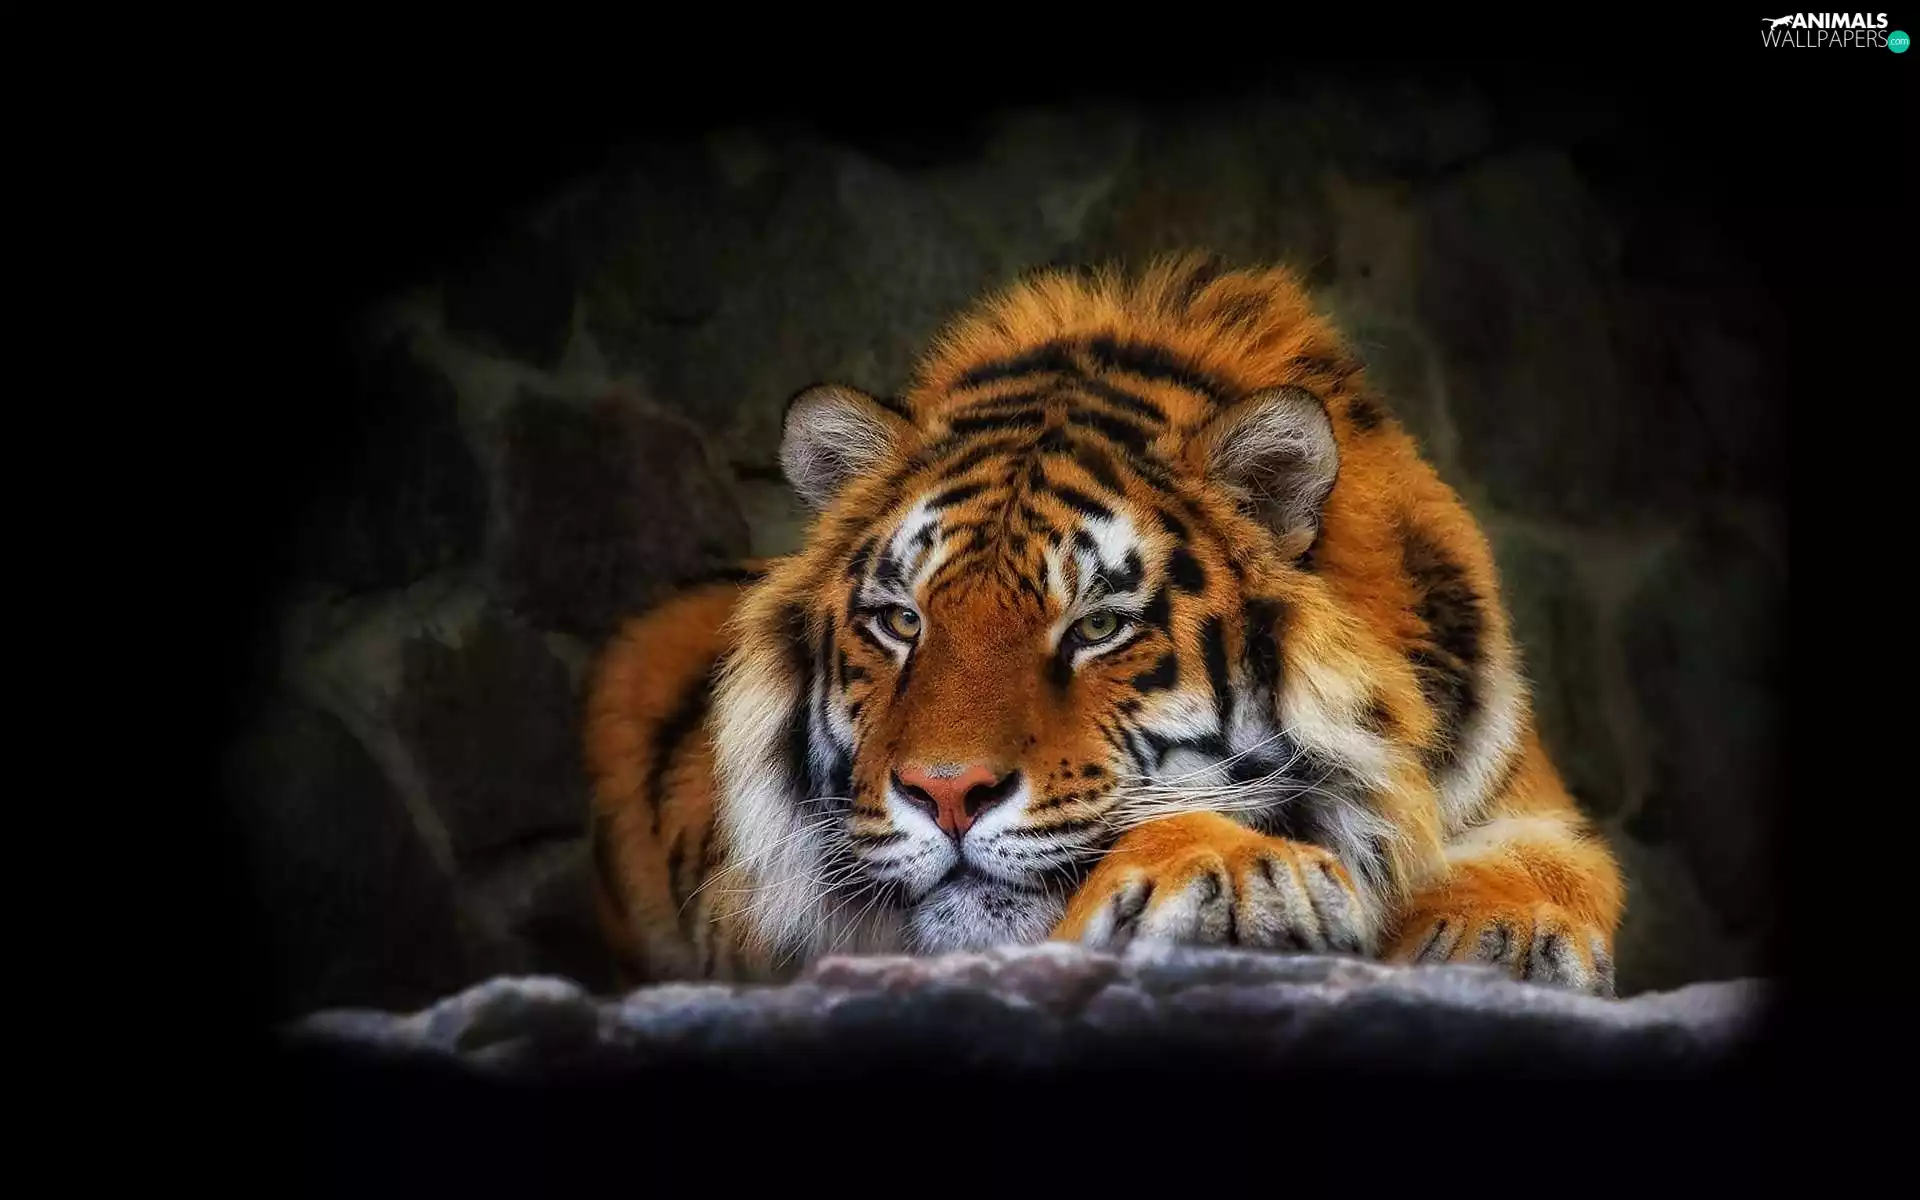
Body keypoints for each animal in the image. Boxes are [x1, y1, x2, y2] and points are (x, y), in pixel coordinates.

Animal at [585, 252, 1625, 996]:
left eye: (1095, 628)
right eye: (900, 621)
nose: (945, 794)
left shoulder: (1522, 795)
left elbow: (1554, 865)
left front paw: (1501, 933)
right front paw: (1237, 871)